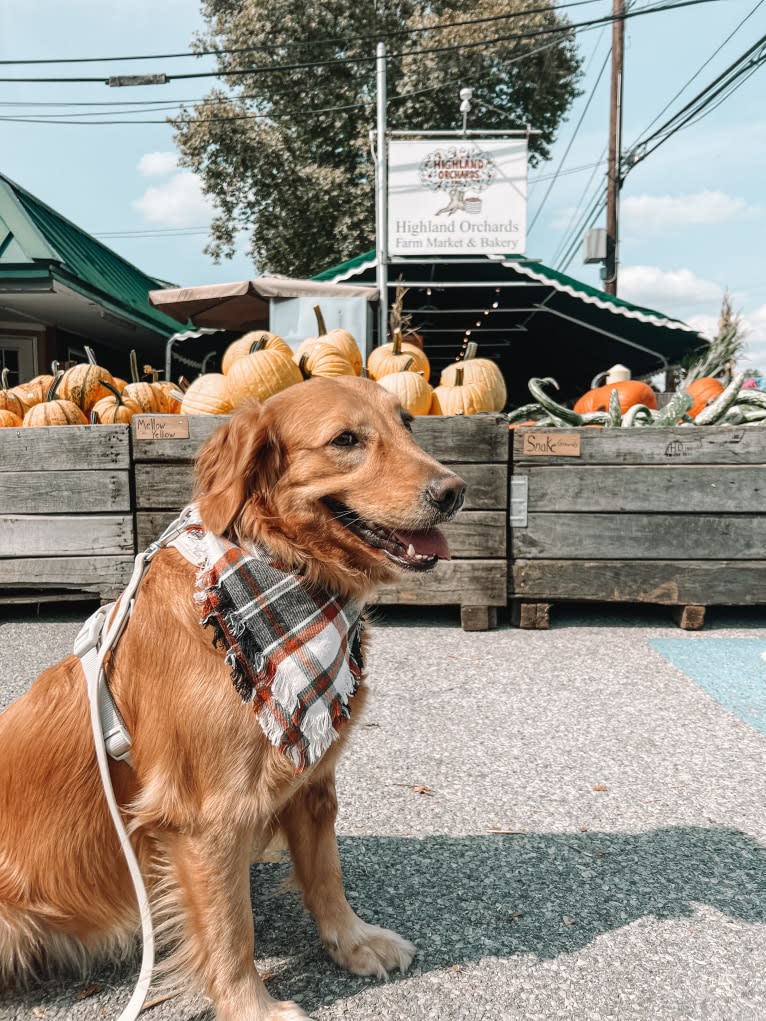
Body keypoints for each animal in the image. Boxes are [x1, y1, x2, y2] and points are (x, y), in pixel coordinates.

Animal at [0, 377, 467, 1021]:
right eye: (346, 440)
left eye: (408, 424)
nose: (455, 491)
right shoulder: (207, 815)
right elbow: (229, 927)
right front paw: (253, 1006)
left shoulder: (311, 781)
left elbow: (327, 875)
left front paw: (352, 942)